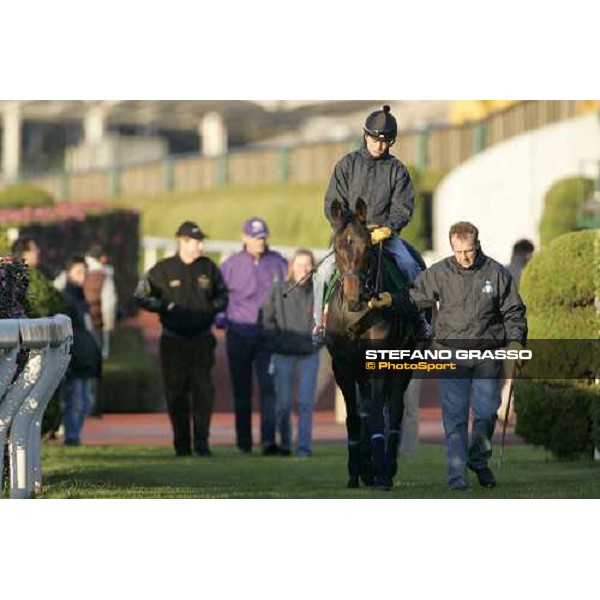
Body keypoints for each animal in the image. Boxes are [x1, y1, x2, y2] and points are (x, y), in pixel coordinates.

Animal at [326, 199, 420, 490]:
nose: (354, 297)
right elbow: (355, 417)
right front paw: (355, 471)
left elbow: (380, 412)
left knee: (396, 409)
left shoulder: (379, 361)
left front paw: (381, 473)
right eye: (337, 247)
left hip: (404, 364)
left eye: (366, 247)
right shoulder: (342, 366)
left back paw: (386, 466)